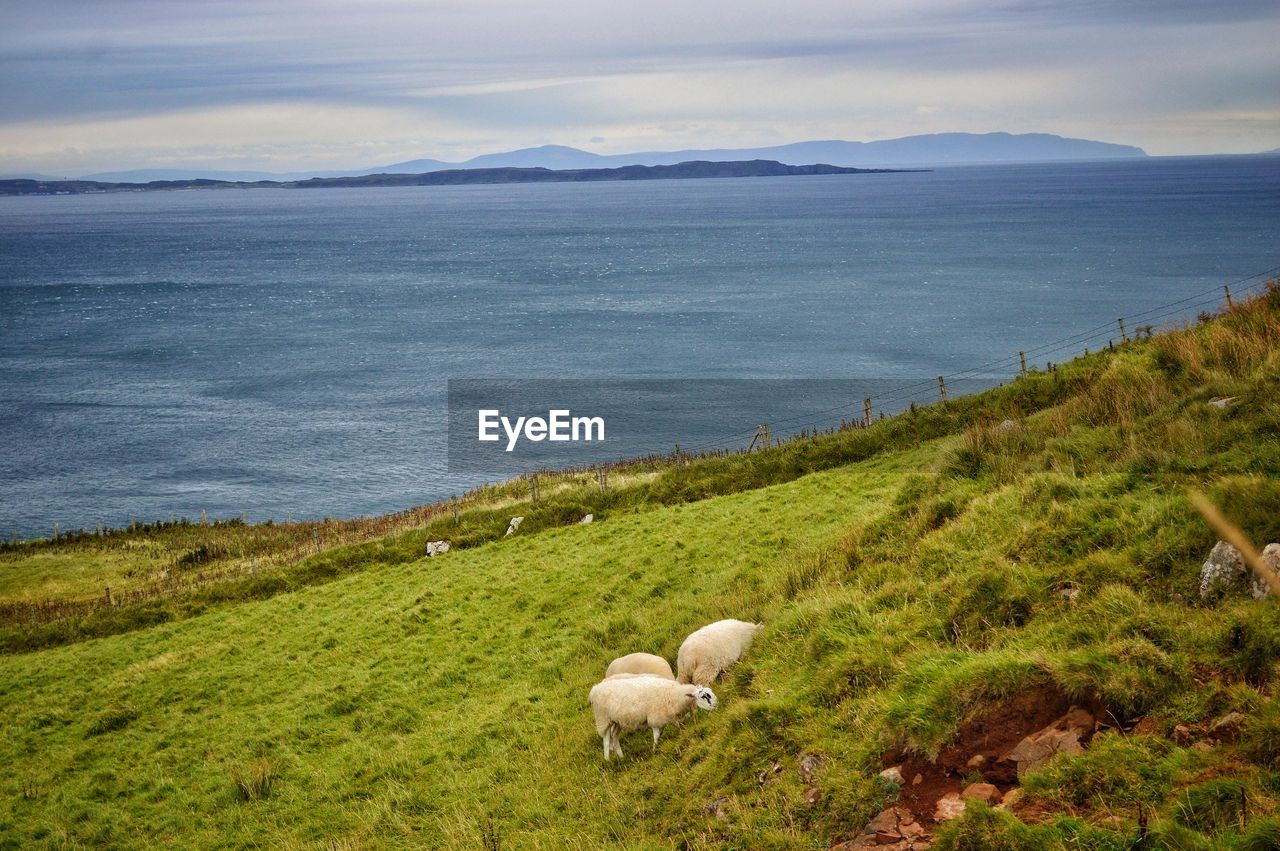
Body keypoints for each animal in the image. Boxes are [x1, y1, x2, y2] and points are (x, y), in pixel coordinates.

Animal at [586, 675, 716, 757]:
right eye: (704, 696)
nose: (715, 707)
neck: (674, 695)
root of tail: (594, 689)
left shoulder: (667, 719)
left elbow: (672, 729)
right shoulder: (655, 719)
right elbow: (656, 736)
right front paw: (654, 750)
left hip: (617, 721)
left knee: (614, 736)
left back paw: (620, 756)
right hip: (603, 719)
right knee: (606, 740)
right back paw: (608, 759)